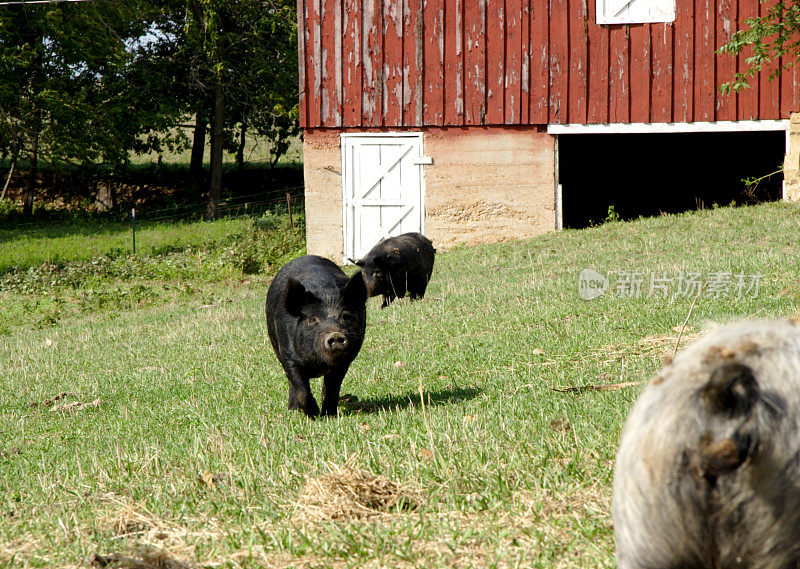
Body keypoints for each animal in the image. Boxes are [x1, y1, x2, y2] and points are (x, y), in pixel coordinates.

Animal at [268, 255, 368, 414]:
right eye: (312, 319)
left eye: (346, 316)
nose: (335, 334)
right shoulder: (288, 355)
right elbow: (300, 388)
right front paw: (313, 414)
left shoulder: (345, 361)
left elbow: (332, 389)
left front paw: (328, 415)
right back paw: (293, 410)